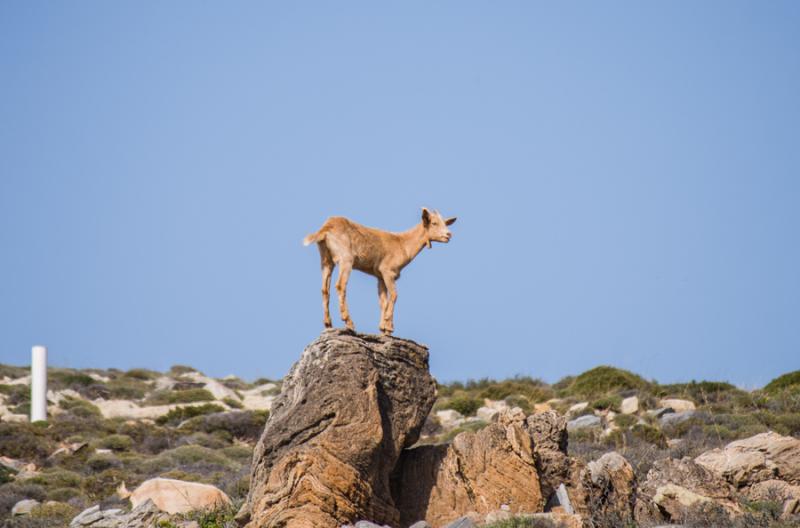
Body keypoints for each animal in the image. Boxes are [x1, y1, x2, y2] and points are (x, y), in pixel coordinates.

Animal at [304, 207, 456, 334]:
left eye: (445, 223)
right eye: (434, 223)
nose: (449, 235)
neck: (403, 244)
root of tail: (326, 228)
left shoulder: (379, 276)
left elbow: (383, 301)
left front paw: (383, 328)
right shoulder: (388, 271)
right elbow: (394, 295)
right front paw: (389, 326)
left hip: (326, 259)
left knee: (324, 288)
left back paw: (328, 323)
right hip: (346, 259)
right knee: (340, 285)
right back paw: (349, 322)